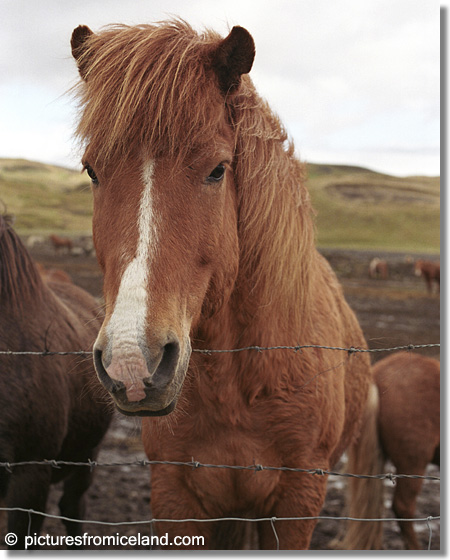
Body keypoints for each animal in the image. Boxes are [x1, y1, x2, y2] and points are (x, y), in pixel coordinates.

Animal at [71, 21, 372, 552]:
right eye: (92, 170)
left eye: (217, 169)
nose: (132, 361)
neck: (241, 385)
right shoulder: (174, 495)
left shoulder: (297, 503)